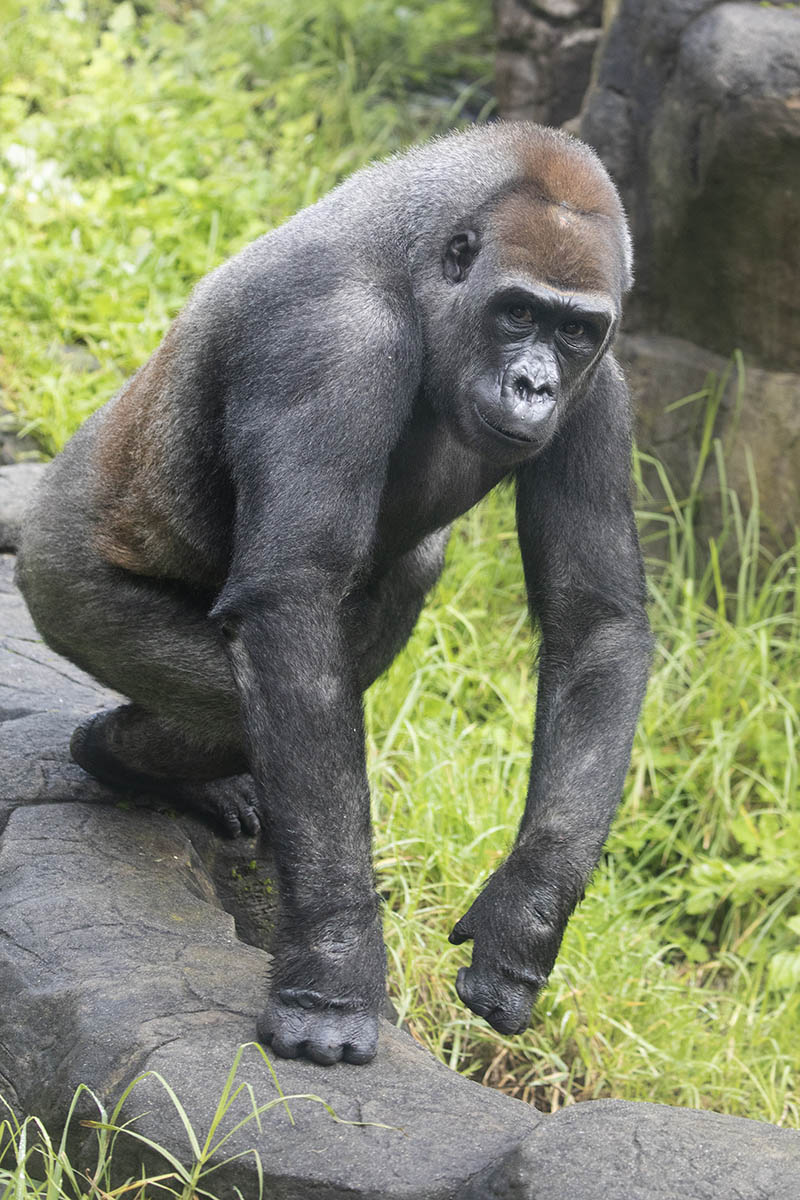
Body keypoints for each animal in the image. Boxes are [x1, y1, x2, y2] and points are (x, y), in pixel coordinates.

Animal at [15, 119, 652, 1060]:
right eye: (517, 313)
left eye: (574, 331)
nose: (535, 384)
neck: (425, 280)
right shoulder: (333, 336)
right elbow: (296, 602)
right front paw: (332, 976)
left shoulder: (602, 385)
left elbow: (595, 624)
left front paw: (526, 916)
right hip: (62, 567)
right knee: (229, 695)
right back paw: (121, 754)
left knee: (403, 576)